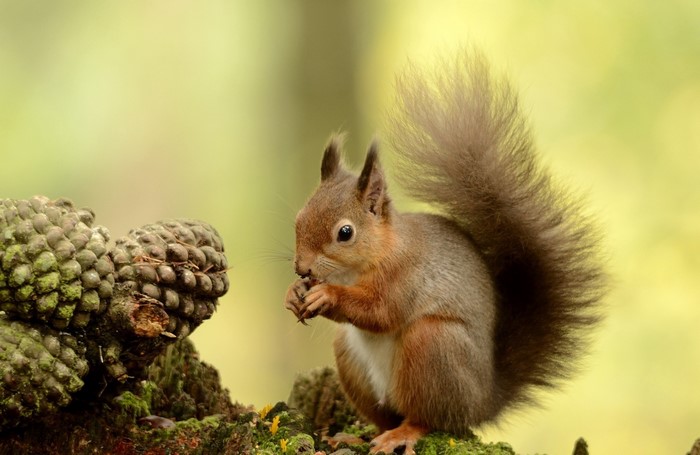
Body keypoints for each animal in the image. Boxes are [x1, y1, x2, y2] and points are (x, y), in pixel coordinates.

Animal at [284, 48, 606, 455]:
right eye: (298, 218)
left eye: (345, 233)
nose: (302, 268)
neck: (368, 259)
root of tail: (482, 401)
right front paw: (294, 294)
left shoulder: (405, 275)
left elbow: (381, 311)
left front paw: (326, 294)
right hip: (352, 357)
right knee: (384, 414)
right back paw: (358, 434)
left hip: (433, 345)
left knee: (429, 419)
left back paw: (402, 434)